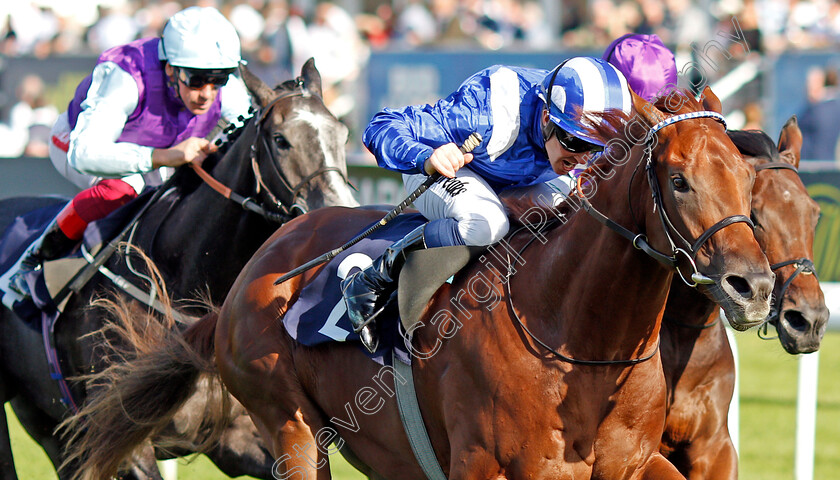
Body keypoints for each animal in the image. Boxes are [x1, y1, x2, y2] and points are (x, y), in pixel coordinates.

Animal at [0, 58, 358, 478]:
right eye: (281, 139)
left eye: (342, 134)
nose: (337, 212)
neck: (182, 280)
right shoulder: (123, 439)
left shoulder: (243, 435)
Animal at [60, 87, 776, 480]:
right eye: (678, 180)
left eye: (747, 178)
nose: (753, 286)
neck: (579, 343)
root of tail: (251, 275)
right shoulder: (485, 466)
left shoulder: (632, 461)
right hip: (289, 427)